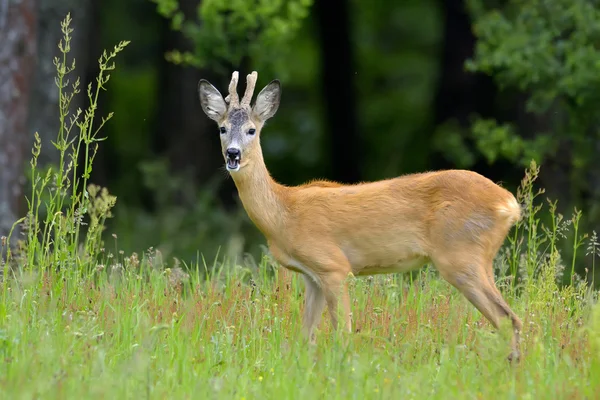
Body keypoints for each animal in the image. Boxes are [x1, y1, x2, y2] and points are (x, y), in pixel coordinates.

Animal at [199, 70, 524, 360]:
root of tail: (509, 203)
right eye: (222, 128)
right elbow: (306, 337)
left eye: (252, 130)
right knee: (510, 319)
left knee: (508, 318)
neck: (284, 212)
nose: (233, 154)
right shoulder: (311, 276)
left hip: (460, 255)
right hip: (477, 257)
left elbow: (342, 333)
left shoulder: (333, 266)